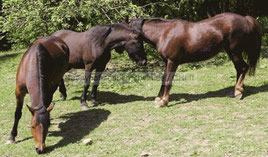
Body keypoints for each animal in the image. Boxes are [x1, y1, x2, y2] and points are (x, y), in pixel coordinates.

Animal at [125, 12, 262, 107]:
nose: (143, 62)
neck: (164, 33)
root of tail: (245, 19)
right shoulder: (166, 62)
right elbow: (164, 79)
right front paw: (159, 99)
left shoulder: (172, 62)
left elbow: (168, 80)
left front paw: (163, 101)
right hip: (231, 52)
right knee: (239, 68)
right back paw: (234, 91)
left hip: (234, 52)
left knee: (243, 67)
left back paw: (238, 91)